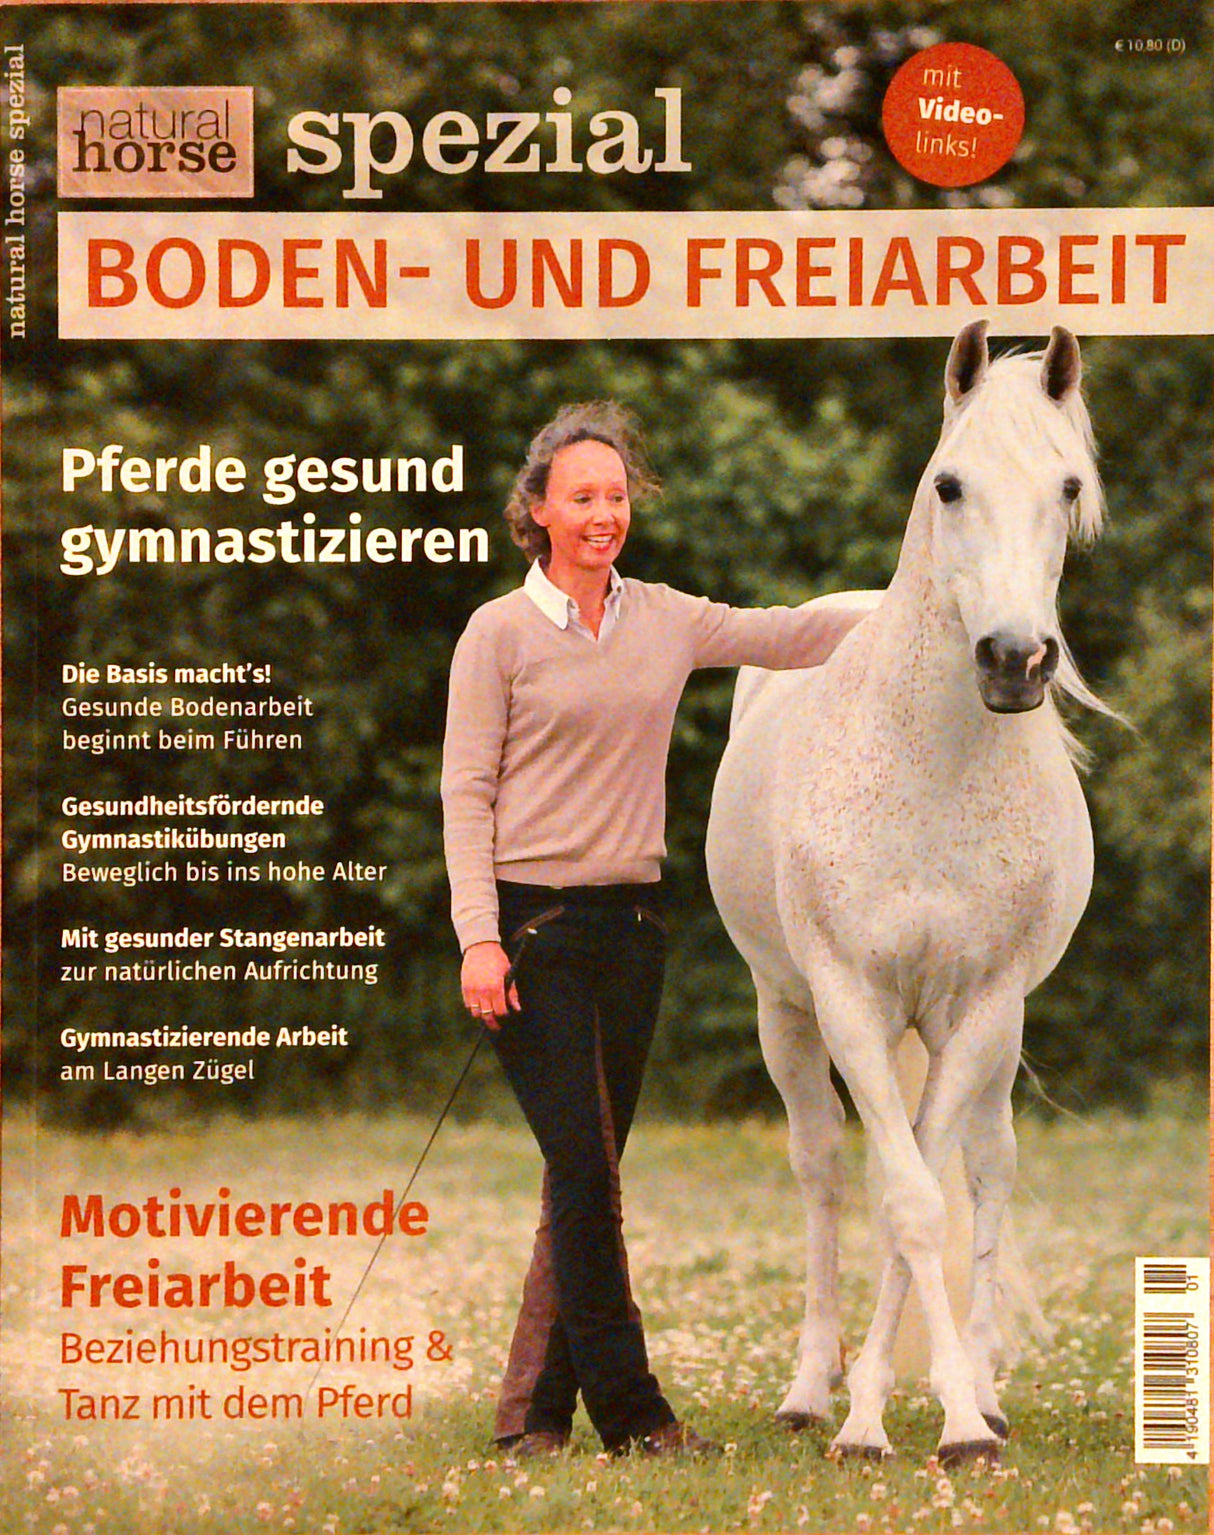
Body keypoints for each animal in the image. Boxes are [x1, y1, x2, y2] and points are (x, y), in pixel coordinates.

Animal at [705, 321, 1106, 1466]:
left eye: (1067, 486)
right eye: (948, 484)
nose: (1014, 659)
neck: (933, 766)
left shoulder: (980, 1009)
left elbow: (926, 1199)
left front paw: (955, 1412)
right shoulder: (849, 1002)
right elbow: (899, 1200)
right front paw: (865, 1416)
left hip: (990, 1041)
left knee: (987, 1169)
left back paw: (974, 1385)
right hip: (790, 1018)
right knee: (822, 1173)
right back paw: (809, 1391)